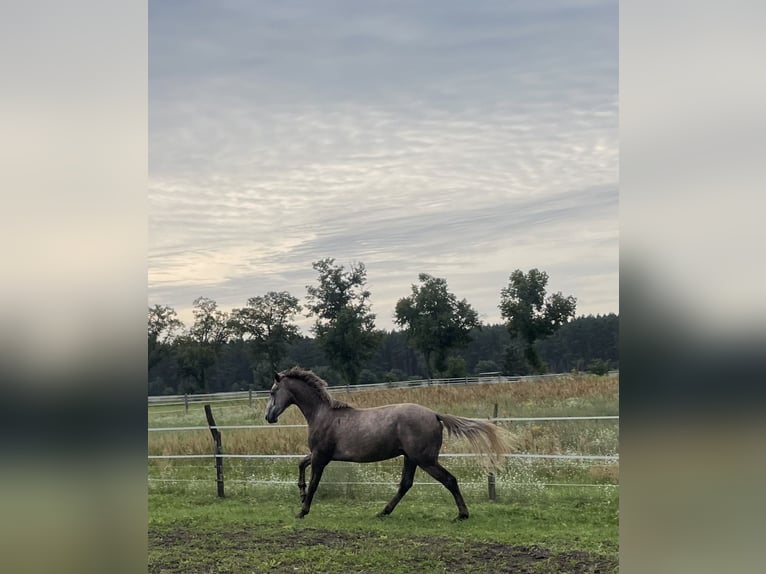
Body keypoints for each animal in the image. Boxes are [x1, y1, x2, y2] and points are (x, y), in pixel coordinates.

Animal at [264, 367, 509, 520]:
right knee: (405, 484)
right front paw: (301, 493)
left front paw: (302, 511)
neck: (323, 415)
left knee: (449, 480)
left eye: (273, 391)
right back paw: (383, 512)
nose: (269, 417)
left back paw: (462, 515)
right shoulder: (318, 454)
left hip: (425, 460)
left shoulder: (321, 457)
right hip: (411, 458)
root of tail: (435, 415)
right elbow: (300, 464)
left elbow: (314, 482)